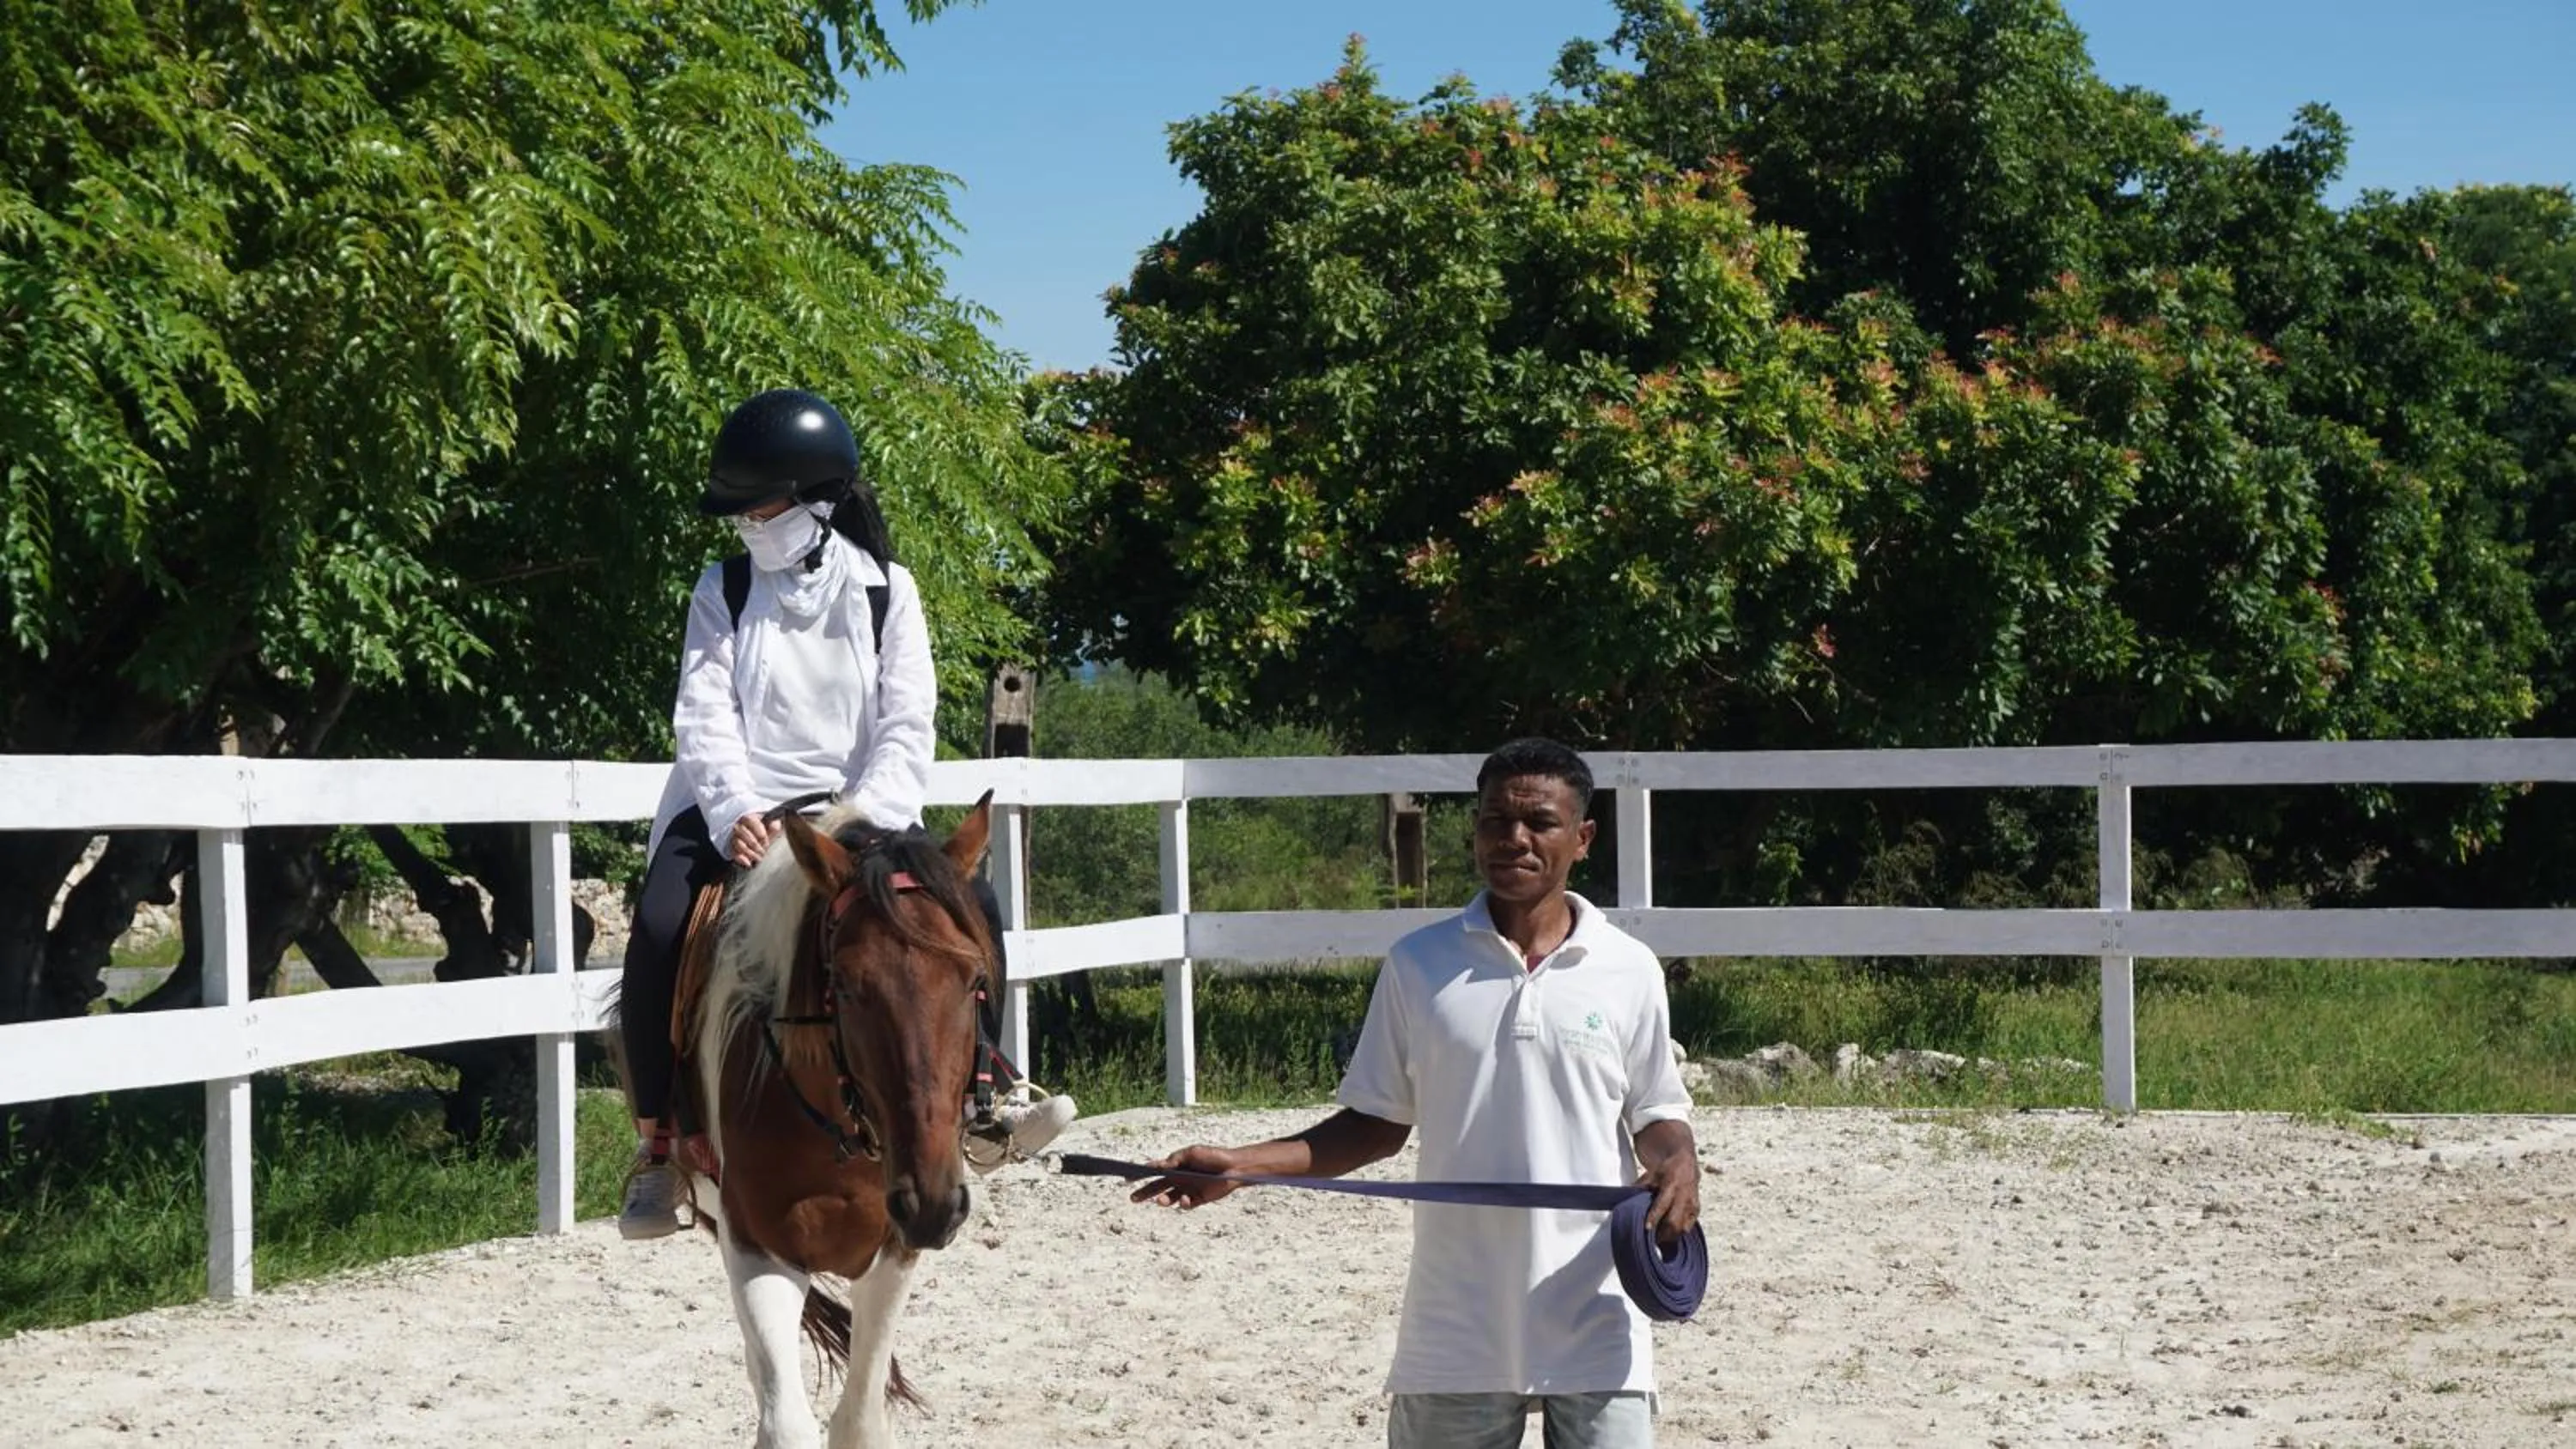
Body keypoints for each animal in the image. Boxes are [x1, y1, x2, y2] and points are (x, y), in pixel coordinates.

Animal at [677, 795, 999, 1449]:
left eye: (976, 979)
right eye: (846, 987)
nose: (934, 1203)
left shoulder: (895, 1247)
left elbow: (860, 1420)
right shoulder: (755, 1244)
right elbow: (786, 1422)